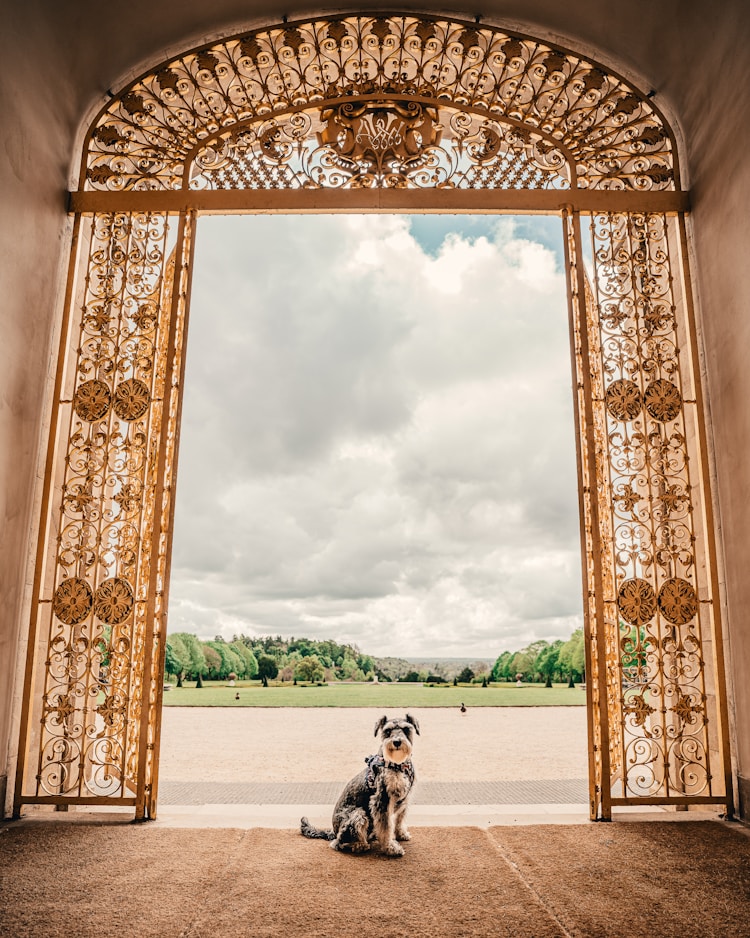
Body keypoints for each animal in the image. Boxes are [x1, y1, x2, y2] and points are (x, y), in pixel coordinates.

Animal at [300, 708, 420, 856]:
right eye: (387, 731)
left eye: (406, 729)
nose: (397, 742)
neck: (399, 764)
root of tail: (333, 831)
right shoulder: (381, 800)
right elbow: (386, 827)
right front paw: (390, 847)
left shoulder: (404, 798)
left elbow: (399, 819)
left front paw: (401, 834)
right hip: (358, 814)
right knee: (338, 843)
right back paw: (359, 845)